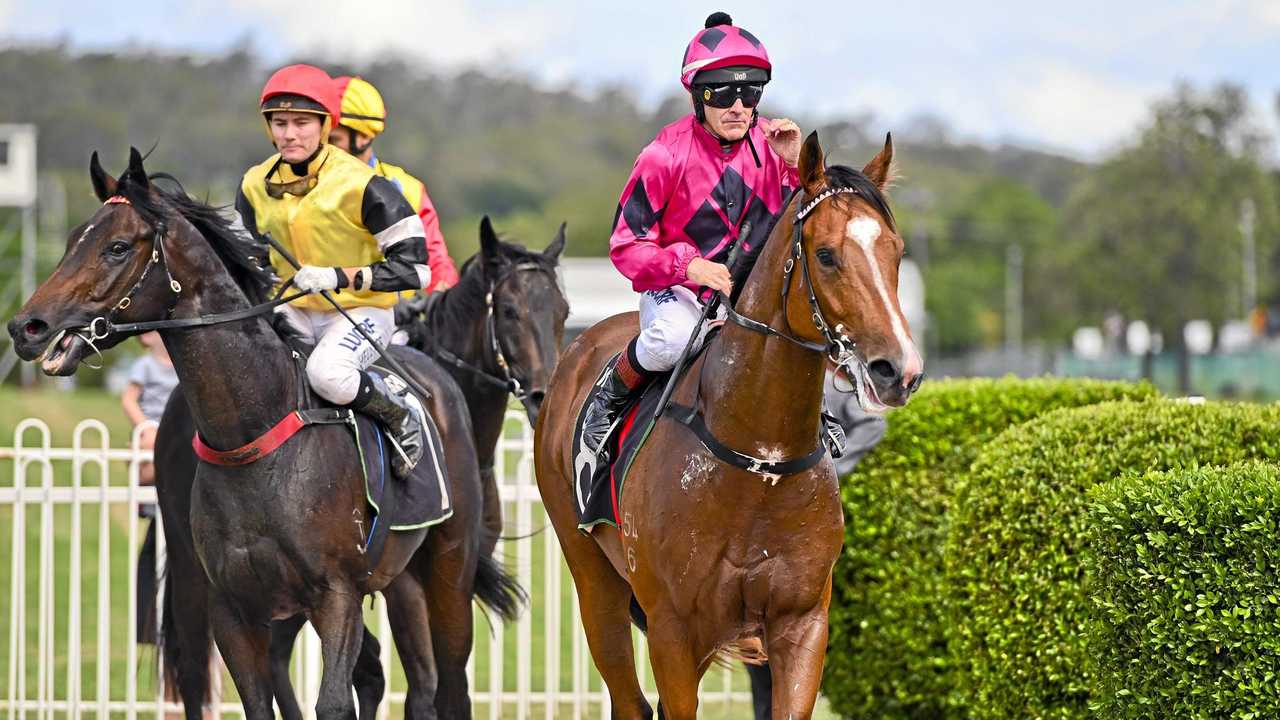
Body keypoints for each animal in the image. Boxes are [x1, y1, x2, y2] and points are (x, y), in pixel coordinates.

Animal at [8, 147, 519, 717]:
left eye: (116, 247)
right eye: (73, 238)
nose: (27, 327)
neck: (253, 436)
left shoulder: (335, 595)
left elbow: (336, 701)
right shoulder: (232, 607)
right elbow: (259, 698)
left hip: (449, 569)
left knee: (450, 680)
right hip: (390, 580)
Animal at [529, 131, 921, 712]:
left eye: (895, 252)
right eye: (826, 256)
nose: (898, 370)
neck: (758, 458)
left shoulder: (802, 624)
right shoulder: (673, 628)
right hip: (593, 576)